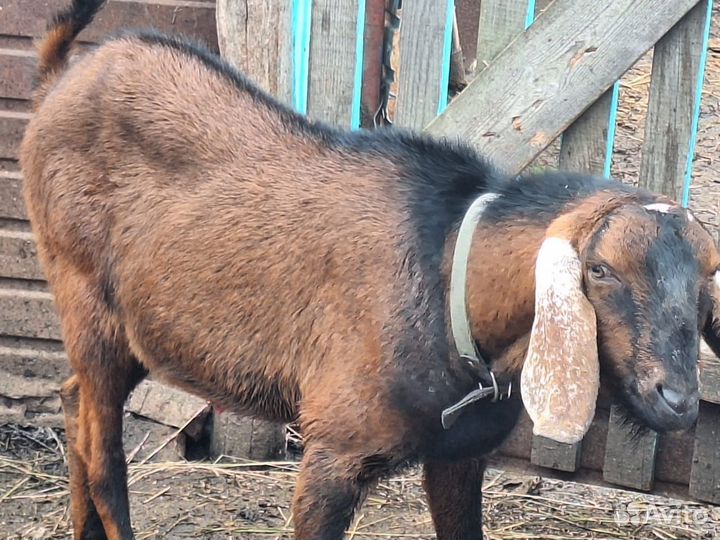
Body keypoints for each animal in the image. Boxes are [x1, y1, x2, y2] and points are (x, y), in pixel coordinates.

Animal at [20, 1, 720, 539]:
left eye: (705, 281)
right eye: (600, 269)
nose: (679, 400)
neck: (449, 286)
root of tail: (57, 79)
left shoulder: (460, 458)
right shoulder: (332, 452)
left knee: (74, 405)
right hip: (84, 298)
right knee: (103, 458)